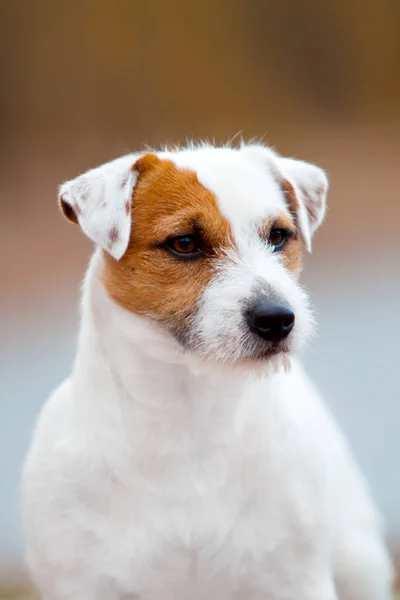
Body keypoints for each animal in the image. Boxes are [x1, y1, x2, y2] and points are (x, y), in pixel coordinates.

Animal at [20, 143, 392, 596]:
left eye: (278, 236)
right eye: (184, 243)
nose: (277, 319)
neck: (188, 414)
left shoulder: (294, 580)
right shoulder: (82, 583)